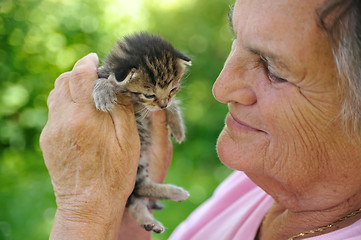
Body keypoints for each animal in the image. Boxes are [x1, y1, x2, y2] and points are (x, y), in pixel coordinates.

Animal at [92, 31, 191, 232]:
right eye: (149, 95)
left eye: (173, 89)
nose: (163, 104)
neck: (136, 101)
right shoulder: (102, 72)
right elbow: (101, 80)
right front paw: (103, 93)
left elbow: (172, 105)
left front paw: (177, 125)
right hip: (137, 164)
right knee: (138, 188)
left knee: (139, 190)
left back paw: (152, 219)